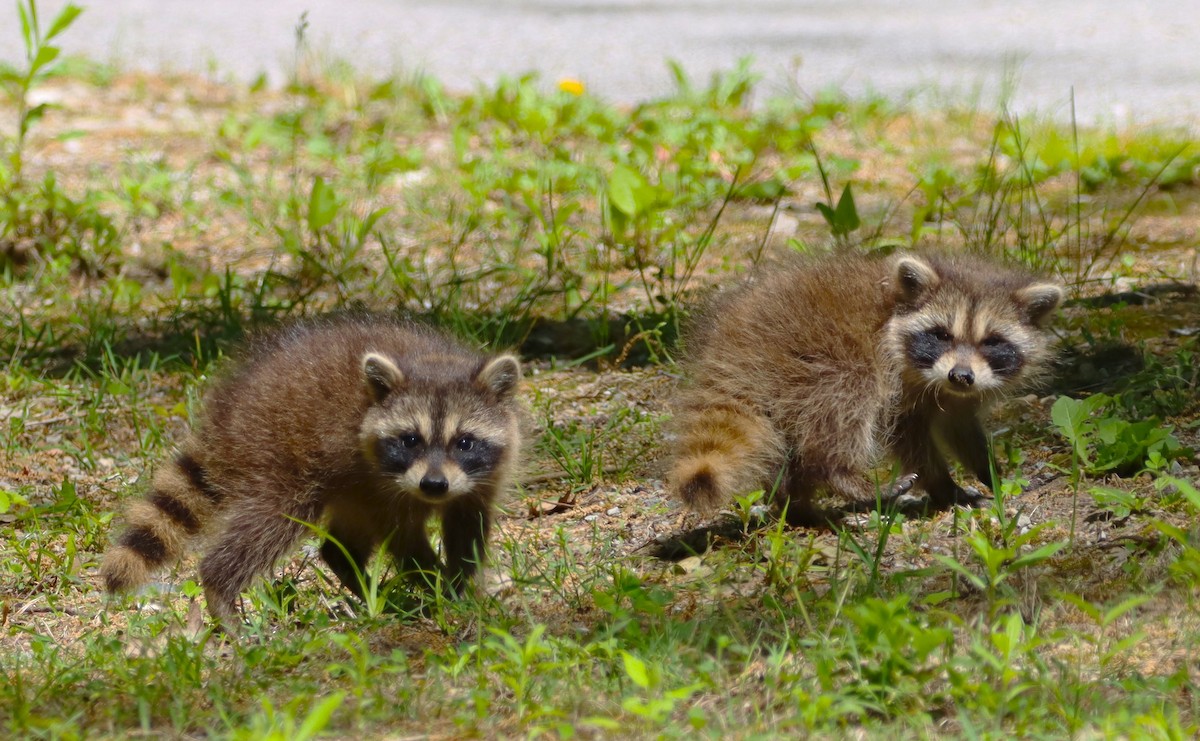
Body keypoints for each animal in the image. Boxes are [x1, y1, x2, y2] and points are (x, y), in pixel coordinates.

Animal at [102, 315, 523, 625]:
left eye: (464, 442)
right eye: (410, 440)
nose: (434, 485)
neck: (433, 364)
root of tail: (229, 409)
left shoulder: (478, 481)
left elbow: (467, 528)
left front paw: (462, 584)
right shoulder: (387, 487)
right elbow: (404, 542)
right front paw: (438, 585)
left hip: (347, 483)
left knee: (340, 542)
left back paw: (358, 581)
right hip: (280, 456)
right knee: (270, 522)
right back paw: (220, 586)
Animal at [669, 250, 1063, 525]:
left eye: (992, 342)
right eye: (941, 335)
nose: (961, 376)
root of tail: (730, 349)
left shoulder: (959, 393)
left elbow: (960, 428)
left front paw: (990, 470)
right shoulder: (898, 383)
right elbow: (910, 438)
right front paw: (943, 485)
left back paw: (794, 505)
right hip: (817, 360)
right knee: (844, 403)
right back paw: (841, 474)